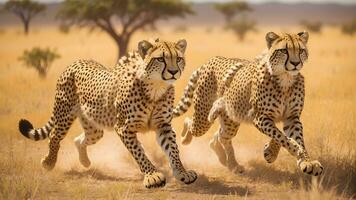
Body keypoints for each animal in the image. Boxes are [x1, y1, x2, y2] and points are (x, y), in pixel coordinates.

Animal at [18, 38, 197, 188]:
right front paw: (153, 176)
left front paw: (182, 173)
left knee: (80, 140)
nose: (173, 71)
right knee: (54, 135)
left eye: (178, 58)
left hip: (94, 128)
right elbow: (139, 153)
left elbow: (173, 150)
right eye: (160, 59)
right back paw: (49, 162)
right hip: (64, 115)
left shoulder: (163, 126)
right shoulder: (124, 128)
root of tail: (77, 61)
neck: (155, 88)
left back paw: (85, 162)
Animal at [174, 31, 324, 177]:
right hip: (203, 119)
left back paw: (230, 163)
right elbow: (281, 136)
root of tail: (213, 59)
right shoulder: (260, 117)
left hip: (231, 120)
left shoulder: (291, 117)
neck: (285, 79)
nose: (295, 63)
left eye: (301, 50)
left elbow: (292, 137)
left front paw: (306, 161)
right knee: (191, 123)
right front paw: (292, 150)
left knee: (221, 137)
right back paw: (184, 138)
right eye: (284, 50)